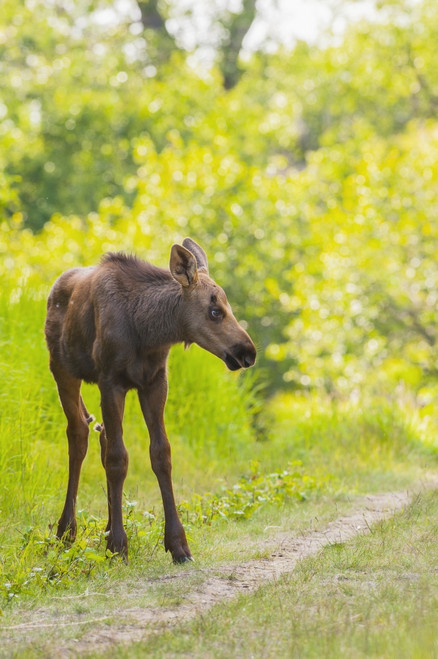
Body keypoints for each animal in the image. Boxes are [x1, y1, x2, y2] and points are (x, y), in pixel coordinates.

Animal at [44, 238, 256, 563]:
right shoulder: (111, 381)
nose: (248, 352)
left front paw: (178, 544)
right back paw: (66, 532)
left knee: (101, 434)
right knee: (78, 433)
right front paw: (118, 546)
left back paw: (104, 526)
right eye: (214, 311)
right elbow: (119, 458)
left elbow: (161, 454)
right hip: (62, 369)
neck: (148, 331)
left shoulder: (155, 381)